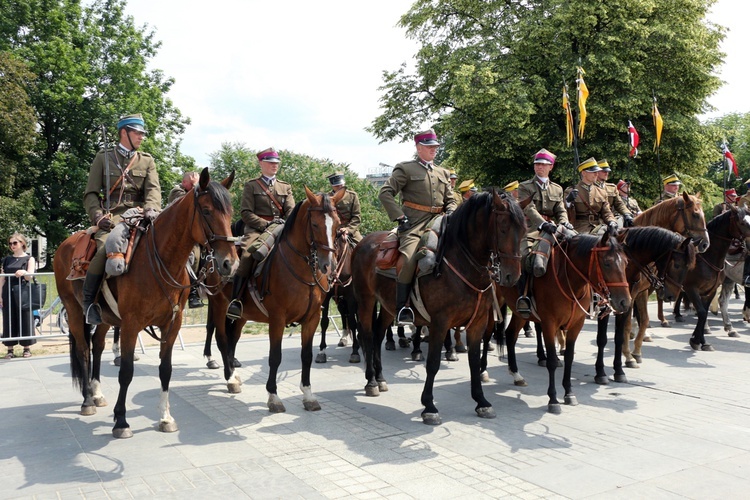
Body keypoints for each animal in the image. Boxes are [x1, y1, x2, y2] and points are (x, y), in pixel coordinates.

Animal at [54, 169, 236, 438]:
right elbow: (126, 371)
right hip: (75, 311)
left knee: (97, 346)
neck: (161, 261)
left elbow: (166, 369)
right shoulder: (131, 324)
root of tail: (65, 244)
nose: (229, 263)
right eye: (206, 211)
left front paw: (165, 417)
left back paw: (97, 393)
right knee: (84, 351)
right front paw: (121, 421)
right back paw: (87, 400)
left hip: (105, 317)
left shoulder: (172, 324)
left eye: (231, 211)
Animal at [209, 188, 344, 414]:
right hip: (219, 305)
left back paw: (234, 374)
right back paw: (230, 378)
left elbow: (306, 355)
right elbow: (275, 357)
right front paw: (273, 396)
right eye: (315, 224)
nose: (329, 266)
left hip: (242, 315)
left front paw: (308, 395)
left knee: (233, 339)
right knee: (222, 339)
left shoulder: (312, 318)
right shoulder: (277, 319)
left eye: (337, 223)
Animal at [354, 189, 524, 424]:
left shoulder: (478, 323)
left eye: (524, 229)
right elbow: (433, 363)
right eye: (504, 227)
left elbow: (473, 362)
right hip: (365, 300)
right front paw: (429, 406)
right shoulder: (439, 323)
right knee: (368, 336)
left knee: (379, 334)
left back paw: (380, 378)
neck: (461, 263)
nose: (511, 275)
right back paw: (371, 382)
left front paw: (481, 401)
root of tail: (364, 241)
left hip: (388, 307)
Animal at [500, 234, 636, 414]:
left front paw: (569, 393)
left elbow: (569, 357)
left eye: (626, 263)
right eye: (607, 263)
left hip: (520, 313)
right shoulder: (549, 324)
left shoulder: (576, 325)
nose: (625, 302)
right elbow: (551, 361)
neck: (567, 280)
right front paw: (553, 400)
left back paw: (516, 375)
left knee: (510, 335)